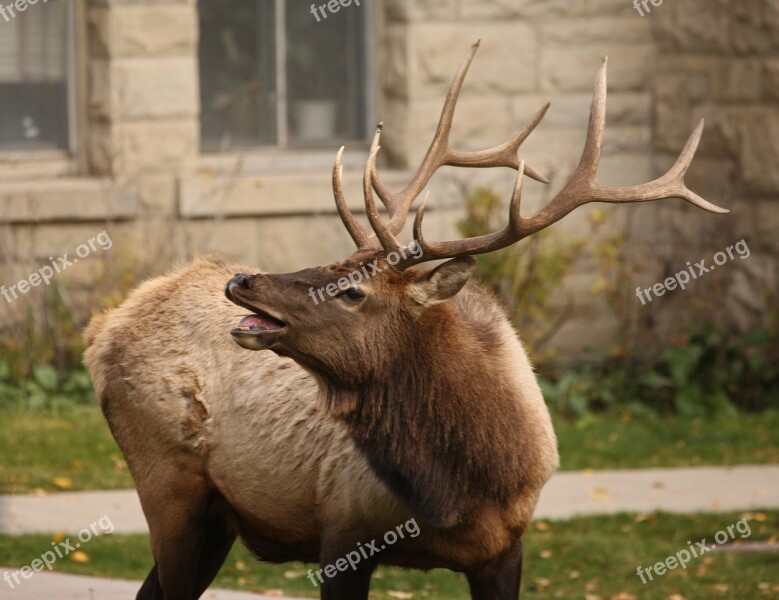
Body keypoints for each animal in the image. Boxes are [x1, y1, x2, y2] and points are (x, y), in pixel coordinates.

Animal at [84, 43, 724, 600]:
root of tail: (103, 331)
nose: (242, 281)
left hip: (215, 515)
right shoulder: (341, 531)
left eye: (351, 290)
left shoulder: (506, 548)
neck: (462, 491)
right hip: (168, 482)